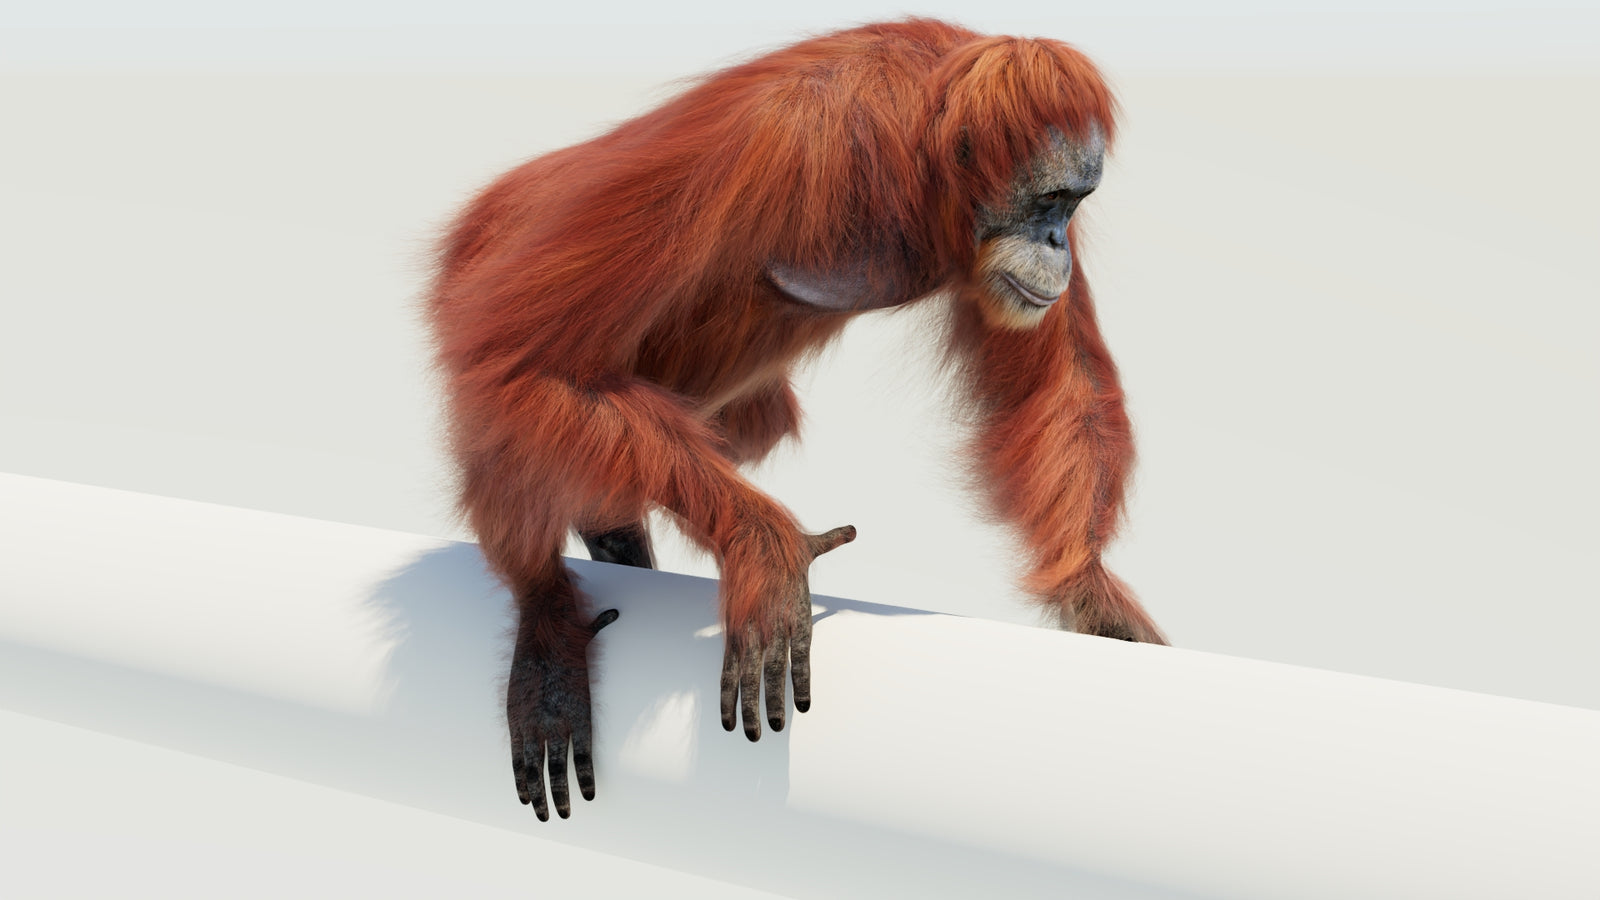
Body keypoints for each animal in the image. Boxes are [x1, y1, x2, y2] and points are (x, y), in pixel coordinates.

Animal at [426, 18, 1166, 822]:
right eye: (1048, 201)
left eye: (1074, 205)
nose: (1057, 240)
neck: (919, 148)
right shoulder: (774, 140)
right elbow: (526, 356)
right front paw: (767, 550)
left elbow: (1061, 378)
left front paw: (1091, 594)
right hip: (483, 256)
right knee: (508, 382)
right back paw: (546, 619)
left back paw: (609, 533)